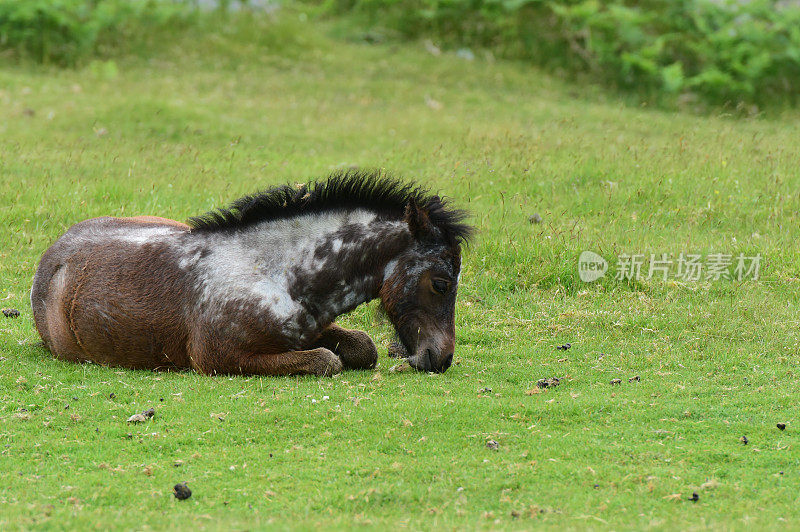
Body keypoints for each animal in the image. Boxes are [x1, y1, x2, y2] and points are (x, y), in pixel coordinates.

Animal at [31, 169, 472, 374]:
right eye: (440, 283)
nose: (441, 357)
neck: (276, 273)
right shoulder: (218, 357)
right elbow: (327, 361)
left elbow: (363, 346)